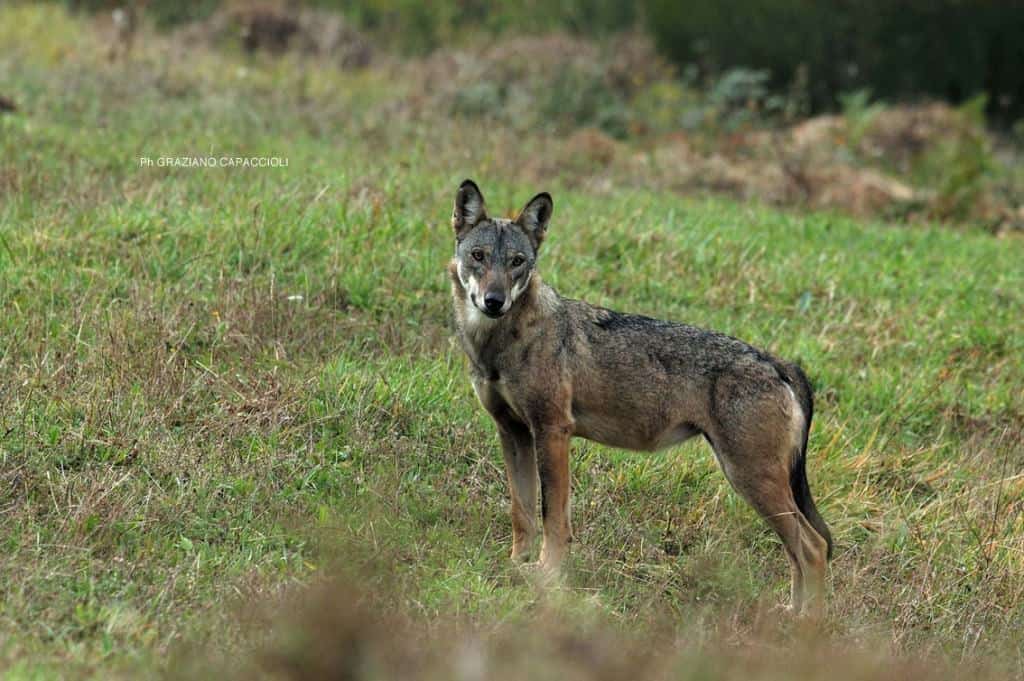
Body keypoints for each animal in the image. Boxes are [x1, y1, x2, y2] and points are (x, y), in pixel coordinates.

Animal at [448, 178, 831, 614]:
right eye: (478, 256)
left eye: (517, 262)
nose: (493, 301)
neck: (500, 343)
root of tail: (778, 361)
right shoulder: (513, 432)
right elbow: (522, 511)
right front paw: (516, 566)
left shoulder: (552, 431)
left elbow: (553, 517)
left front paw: (547, 577)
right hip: (754, 482)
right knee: (799, 551)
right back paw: (790, 614)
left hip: (751, 479)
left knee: (813, 547)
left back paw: (807, 624)